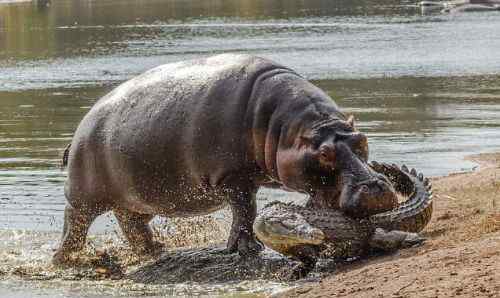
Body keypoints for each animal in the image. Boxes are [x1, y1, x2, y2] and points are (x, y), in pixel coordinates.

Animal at [53, 53, 398, 264]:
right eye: (325, 153)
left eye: (362, 140)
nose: (376, 187)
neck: (286, 128)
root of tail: (79, 130)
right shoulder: (233, 177)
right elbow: (245, 210)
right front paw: (247, 249)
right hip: (85, 196)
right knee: (75, 223)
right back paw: (66, 261)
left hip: (138, 197)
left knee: (131, 223)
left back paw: (156, 250)